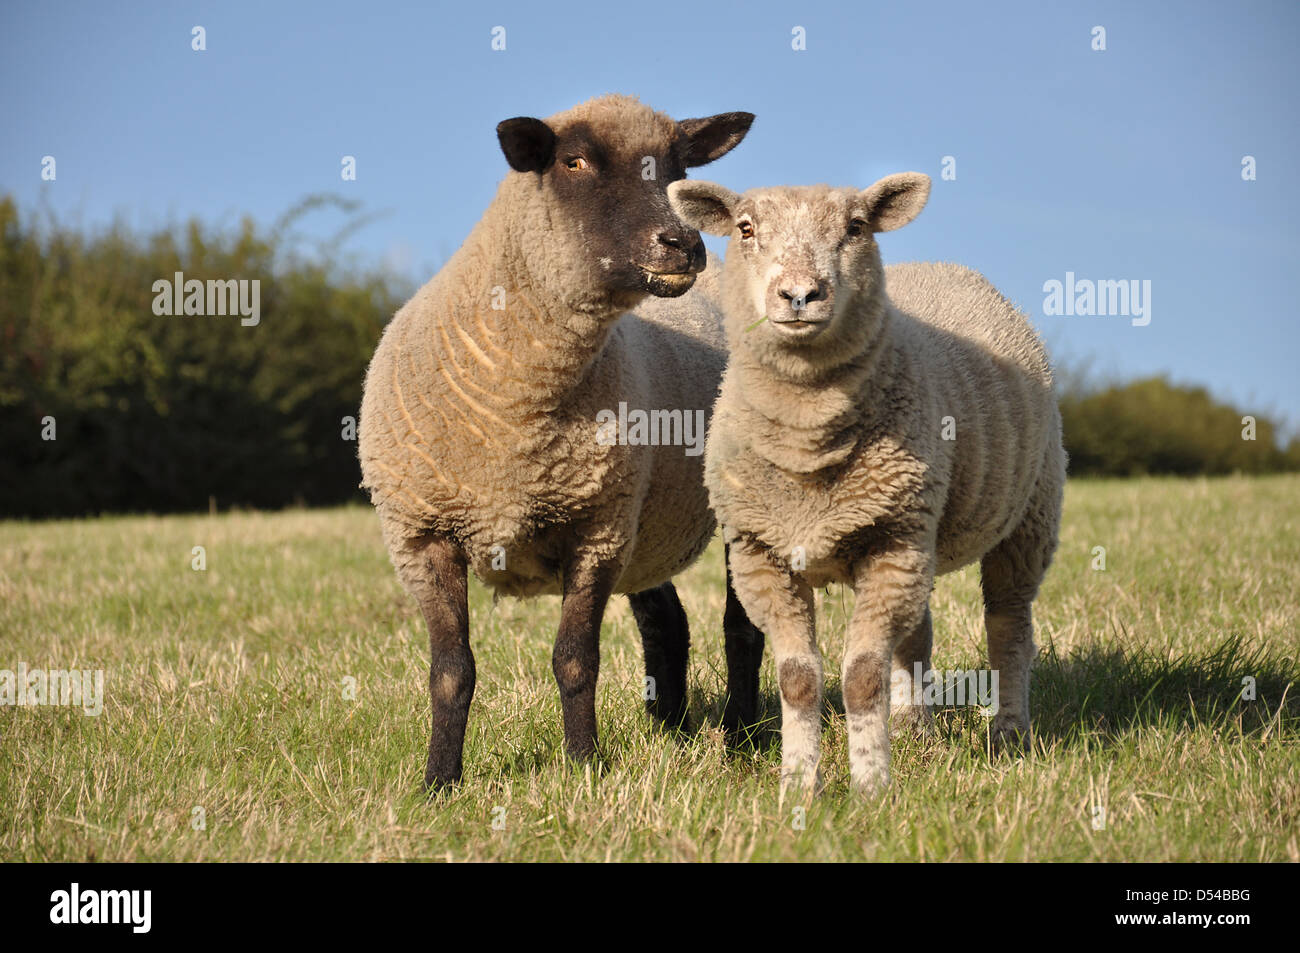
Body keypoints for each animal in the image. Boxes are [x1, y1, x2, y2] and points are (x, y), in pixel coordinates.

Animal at [357, 95, 760, 790]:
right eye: (573, 162)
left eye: (680, 167)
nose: (682, 245)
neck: (516, 410)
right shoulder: (423, 538)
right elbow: (450, 670)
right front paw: (438, 782)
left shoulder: (596, 532)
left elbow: (575, 660)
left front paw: (583, 766)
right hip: (645, 522)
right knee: (667, 622)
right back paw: (675, 732)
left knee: (742, 627)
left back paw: (741, 740)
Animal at [668, 173, 1066, 795]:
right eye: (746, 228)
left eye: (855, 228)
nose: (799, 295)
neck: (806, 442)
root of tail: (945, 265)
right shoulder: (765, 557)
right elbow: (798, 679)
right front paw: (798, 784)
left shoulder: (889, 547)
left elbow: (860, 678)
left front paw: (872, 785)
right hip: (917, 534)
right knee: (917, 635)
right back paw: (911, 726)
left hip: (1027, 515)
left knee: (1009, 626)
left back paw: (1007, 733)